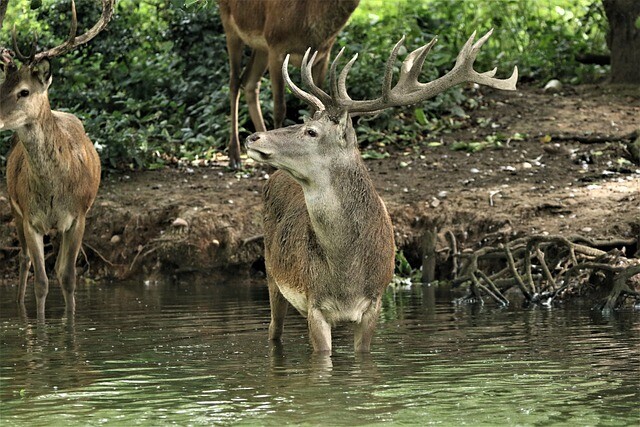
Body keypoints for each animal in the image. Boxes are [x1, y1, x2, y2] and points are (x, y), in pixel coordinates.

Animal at [0, 0, 115, 318]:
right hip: (13, 205)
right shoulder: (30, 217)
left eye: (23, 91)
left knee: (58, 266)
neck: (54, 190)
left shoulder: (78, 216)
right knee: (24, 258)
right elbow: (41, 281)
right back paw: (18, 307)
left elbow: (68, 277)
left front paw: (70, 324)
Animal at [219, 0, 360, 170]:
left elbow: (314, 108)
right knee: (234, 82)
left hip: (261, 48)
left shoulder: (324, 55)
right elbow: (279, 108)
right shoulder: (276, 47)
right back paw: (235, 157)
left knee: (250, 81)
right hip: (230, 27)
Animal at [248, 30, 516, 354]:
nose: (253, 137)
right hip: (271, 272)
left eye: (310, 131)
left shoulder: (374, 302)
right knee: (273, 330)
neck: (345, 273)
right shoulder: (314, 305)